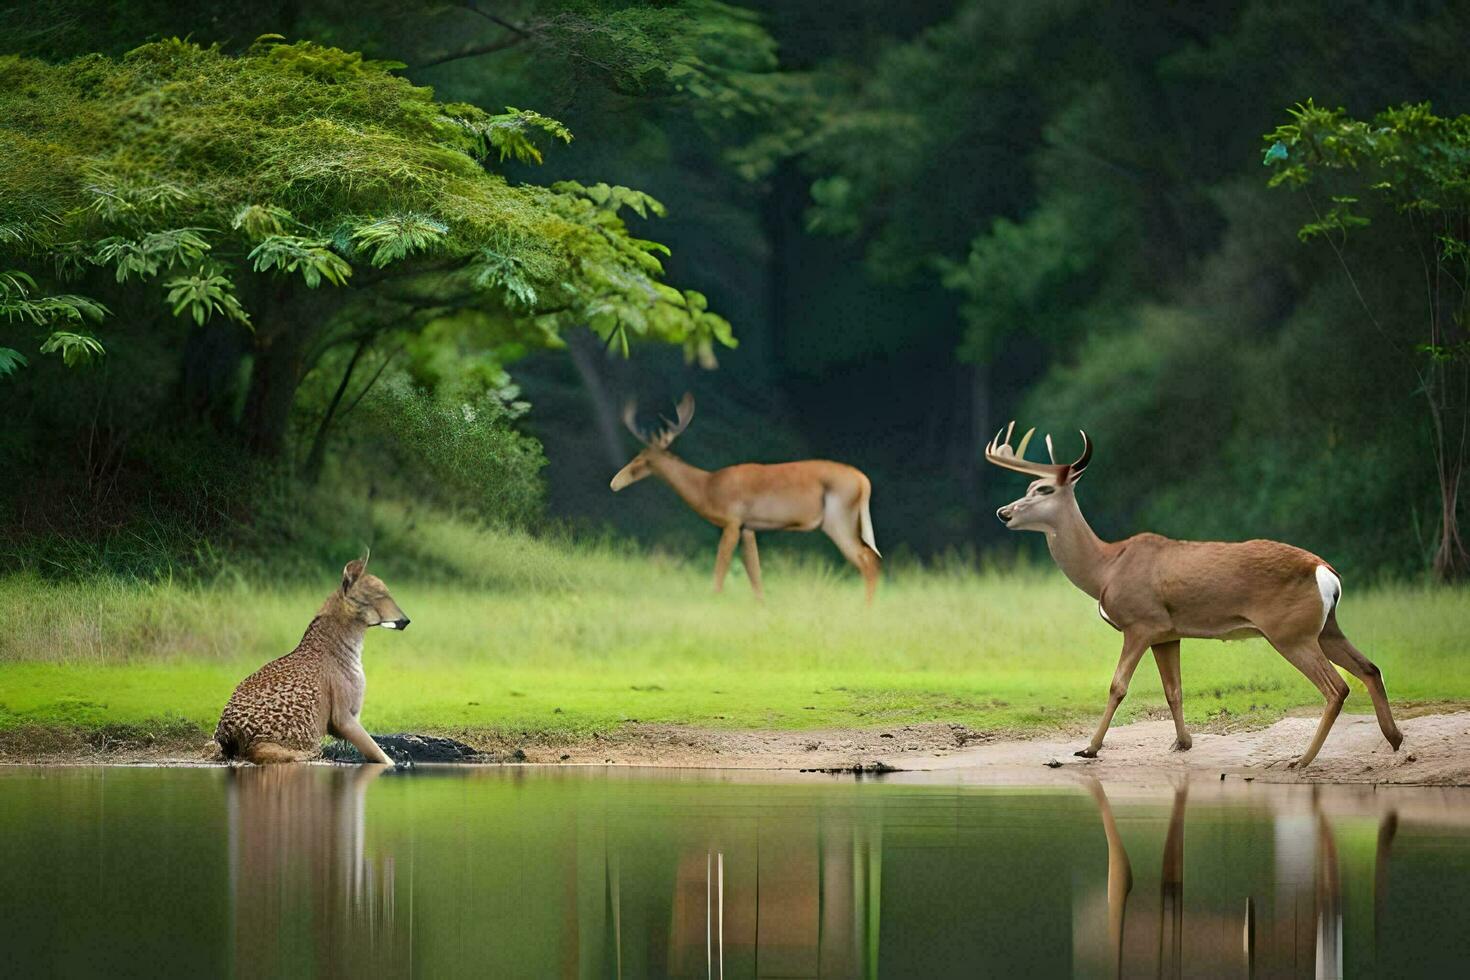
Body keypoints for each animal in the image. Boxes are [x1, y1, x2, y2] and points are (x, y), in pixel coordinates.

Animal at [611, 393, 876, 602]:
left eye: (641, 459)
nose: (614, 482)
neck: (707, 487)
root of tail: (864, 482)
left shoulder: (732, 521)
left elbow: (720, 569)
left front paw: (714, 599)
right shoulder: (749, 527)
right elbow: (755, 574)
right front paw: (761, 605)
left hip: (838, 519)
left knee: (868, 559)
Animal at [987, 426, 1399, 769]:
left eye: (1043, 490)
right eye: (1029, 488)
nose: (1003, 512)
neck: (1106, 567)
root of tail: (1327, 573)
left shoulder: (1141, 622)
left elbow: (1118, 686)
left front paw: (1089, 747)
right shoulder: (1168, 633)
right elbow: (1174, 690)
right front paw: (1182, 742)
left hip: (1291, 632)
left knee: (1337, 687)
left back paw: (1303, 759)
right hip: (1325, 627)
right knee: (1370, 668)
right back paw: (1394, 739)